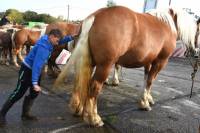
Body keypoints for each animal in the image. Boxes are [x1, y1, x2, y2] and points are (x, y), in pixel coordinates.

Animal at [54, 6, 197, 127]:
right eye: (198, 31)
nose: (195, 53)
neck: (168, 24)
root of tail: (95, 16)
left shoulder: (148, 61)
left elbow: (146, 80)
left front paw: (146, 99)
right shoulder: (160, 61)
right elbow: (150, 81)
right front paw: (145, 103)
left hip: (89, 62)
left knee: (80, 82)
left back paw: (78, 109)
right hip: (105, 65)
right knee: (94, 86)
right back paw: (94, 118)